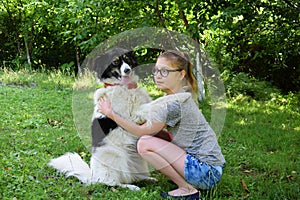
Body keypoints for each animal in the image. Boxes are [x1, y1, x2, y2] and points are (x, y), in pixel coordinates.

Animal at [48, 47, 155, 190]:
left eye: (127, 59)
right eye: (115, 62)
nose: (127, 70)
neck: (124, 87)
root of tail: (93, 177)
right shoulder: (127, 116)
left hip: (138, 161)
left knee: (133, 177)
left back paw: (148, 179)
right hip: (116, 157)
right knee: (113, 183)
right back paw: (131, 187)